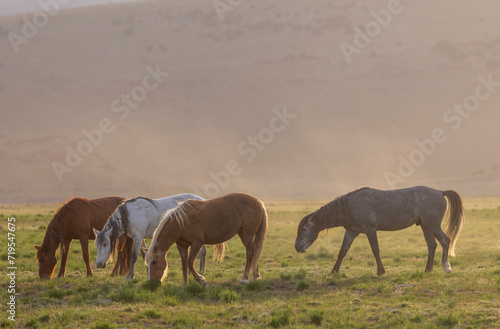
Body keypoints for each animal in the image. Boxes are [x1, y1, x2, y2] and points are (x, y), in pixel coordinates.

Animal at [292, 186, 464, 276]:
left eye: (305, 228)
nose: (297, 247)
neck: (349, 206)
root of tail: (440, 192)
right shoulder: (351, 232)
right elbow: (342, 252)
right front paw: (334, 271)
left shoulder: (370, 230)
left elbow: (375, 250)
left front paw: (381, 271)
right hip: (425, 227)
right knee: (432, 245)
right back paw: (428, 270)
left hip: (433, 225)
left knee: (445, 241)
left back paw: (446, 267)